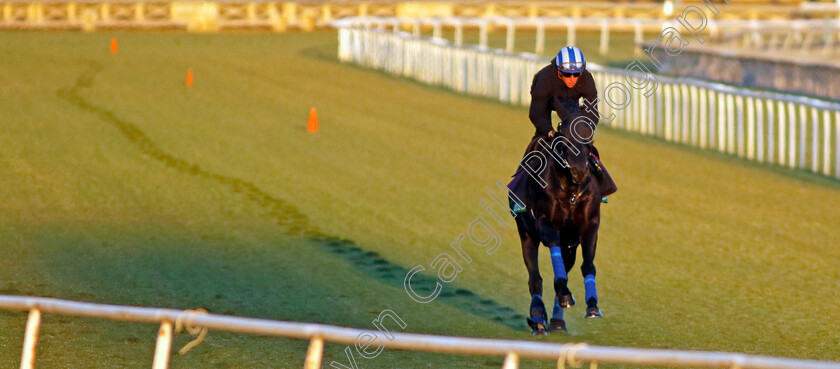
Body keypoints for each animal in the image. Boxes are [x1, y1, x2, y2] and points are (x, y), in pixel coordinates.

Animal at [508, 113, 600, 334]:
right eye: (564, 138)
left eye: (590, 136)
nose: (579, 172)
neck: (571, 193)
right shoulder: (546, 225)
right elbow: (552, 256)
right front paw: (565, 294)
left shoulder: (589, 228)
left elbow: (588, 264)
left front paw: (592, 305)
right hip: (526, 233)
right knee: (535, 278)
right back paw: (538, 317)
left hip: (570, 246)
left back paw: (558, 321)